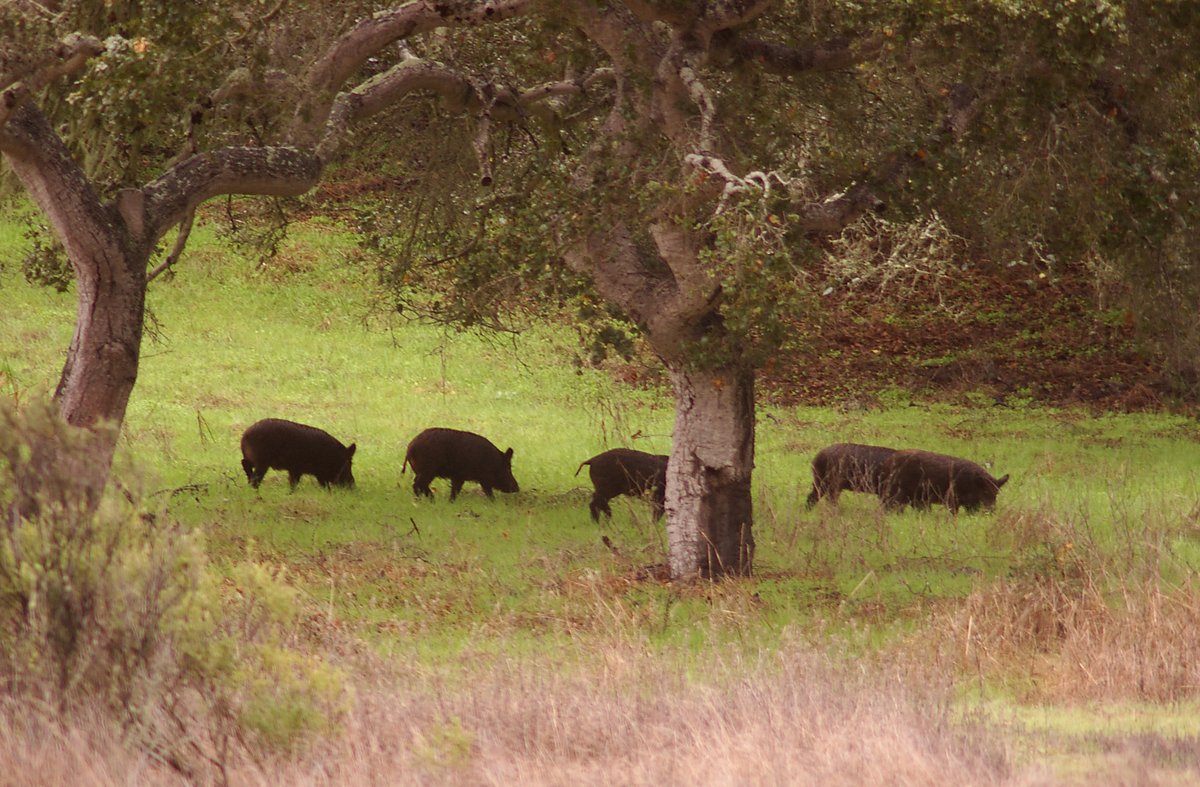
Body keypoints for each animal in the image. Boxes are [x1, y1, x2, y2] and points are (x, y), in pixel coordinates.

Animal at [879, 449, 1009, 513]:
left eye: (996, 493)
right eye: (985, 492)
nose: (991, 511)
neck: (971, 484)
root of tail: (887, 463)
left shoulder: (970, 504)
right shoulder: (951, 498)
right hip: (897, 492)